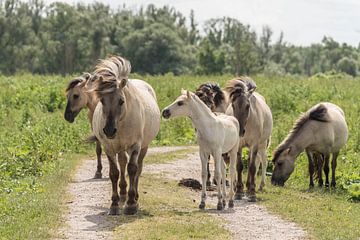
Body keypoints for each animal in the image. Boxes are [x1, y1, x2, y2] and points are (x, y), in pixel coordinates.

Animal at [90, 56, 160, 216]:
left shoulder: (135, 146)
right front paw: (114, 205)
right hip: (121, 148)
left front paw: (131, 204)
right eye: (102, 100)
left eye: (121, 101)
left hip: (143, 147)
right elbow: (114, 173)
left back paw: (134, 197)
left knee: (138, 168)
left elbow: (132, 169)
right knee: (122, 164)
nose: (109, 130)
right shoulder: (109, 147)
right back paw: (123, 194)